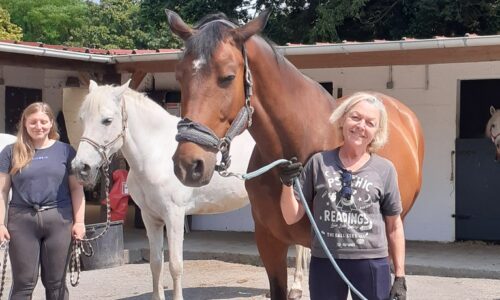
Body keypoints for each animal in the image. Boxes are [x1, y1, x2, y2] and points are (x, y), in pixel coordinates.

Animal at [71, 79, 308, 300]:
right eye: (82, 118)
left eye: (107, 120)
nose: (81, 167)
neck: (156, 152)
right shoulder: (150, 217)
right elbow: (156, 263)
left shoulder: (174, 216)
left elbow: (175, 265)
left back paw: (296, 288)